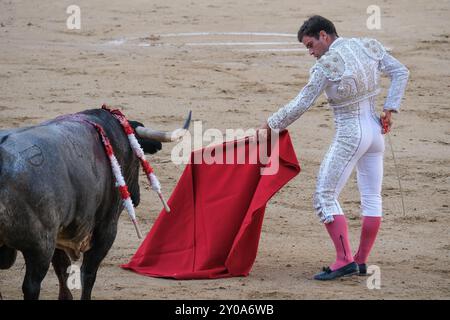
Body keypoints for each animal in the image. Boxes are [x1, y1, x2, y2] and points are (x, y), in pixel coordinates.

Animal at [0, 108, 192, 300]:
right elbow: (88, 273)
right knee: (31, 285)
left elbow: (62, 268)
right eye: (138, 160)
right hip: (40, 246)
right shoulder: (106, 229)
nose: (136, 198)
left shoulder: (59, 231)